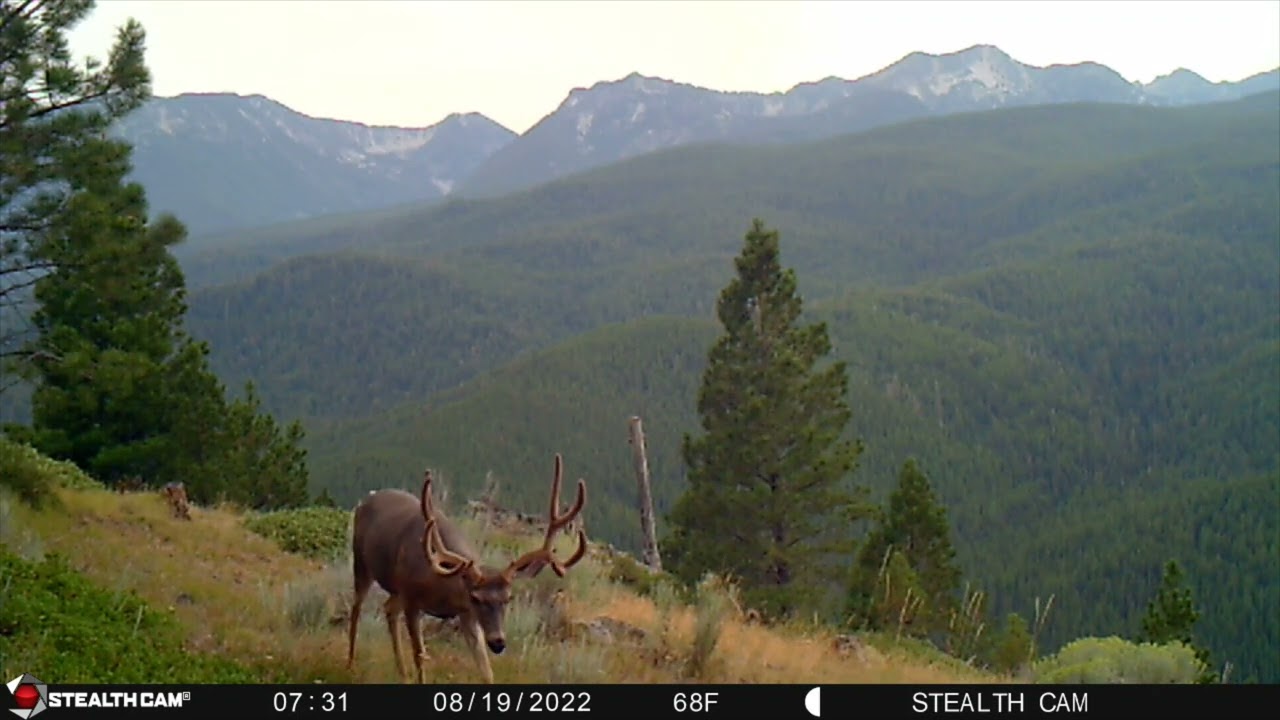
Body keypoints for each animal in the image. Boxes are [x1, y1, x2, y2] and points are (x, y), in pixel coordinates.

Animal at [346, 453, 588, 684]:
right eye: (476, 598)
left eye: (508, 598)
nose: (498, 642)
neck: (442, 588)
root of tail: (367, 499)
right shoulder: (413, 599)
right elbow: (420, 656)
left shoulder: (465, 614)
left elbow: (486, 669)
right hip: (362, 563)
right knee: (356, 609)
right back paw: (350, 665)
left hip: (395, 589)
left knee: (388, 608)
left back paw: (402, 674)